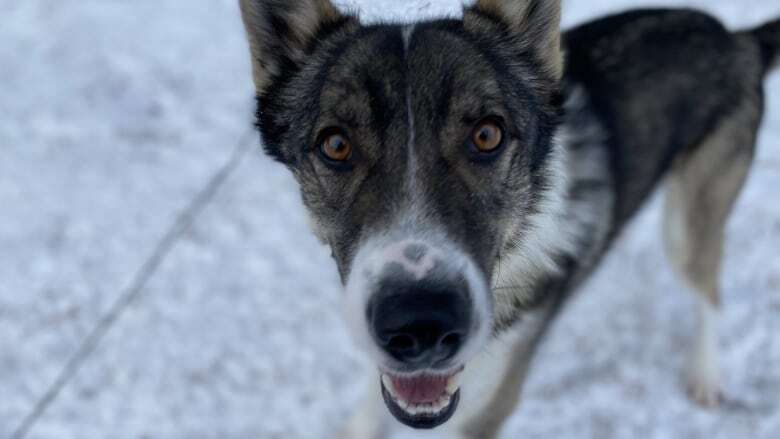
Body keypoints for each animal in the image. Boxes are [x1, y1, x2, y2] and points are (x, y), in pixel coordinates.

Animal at [238, 1, 780, 438]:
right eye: (335, 145)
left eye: (487, 135)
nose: (420, 324)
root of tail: (740, 39)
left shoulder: (488, 408)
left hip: (688, 224)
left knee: (708, 292)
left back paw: (706, 375)